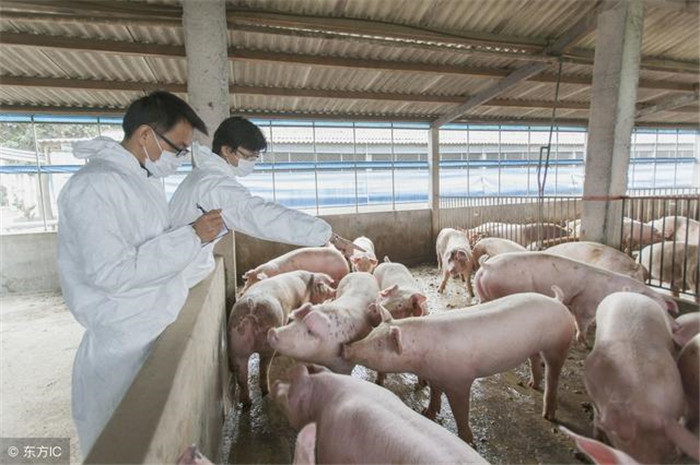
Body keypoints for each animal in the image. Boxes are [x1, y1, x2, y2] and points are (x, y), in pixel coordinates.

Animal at [230, 270, 336, 404]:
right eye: (324, 287)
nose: (334, 290)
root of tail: (252, 305)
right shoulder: (302, 301)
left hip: (237, 345)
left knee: (242, 376)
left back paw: (246, 403)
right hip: (266, 342)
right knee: (264, 367)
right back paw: (267, 392)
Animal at [470, 250, 680, 344]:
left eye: (666, 308)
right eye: (657, 308)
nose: (677, 326)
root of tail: (488, 265)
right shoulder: (584, 304)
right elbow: (582, 321)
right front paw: (584, 342)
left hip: (483, 293)